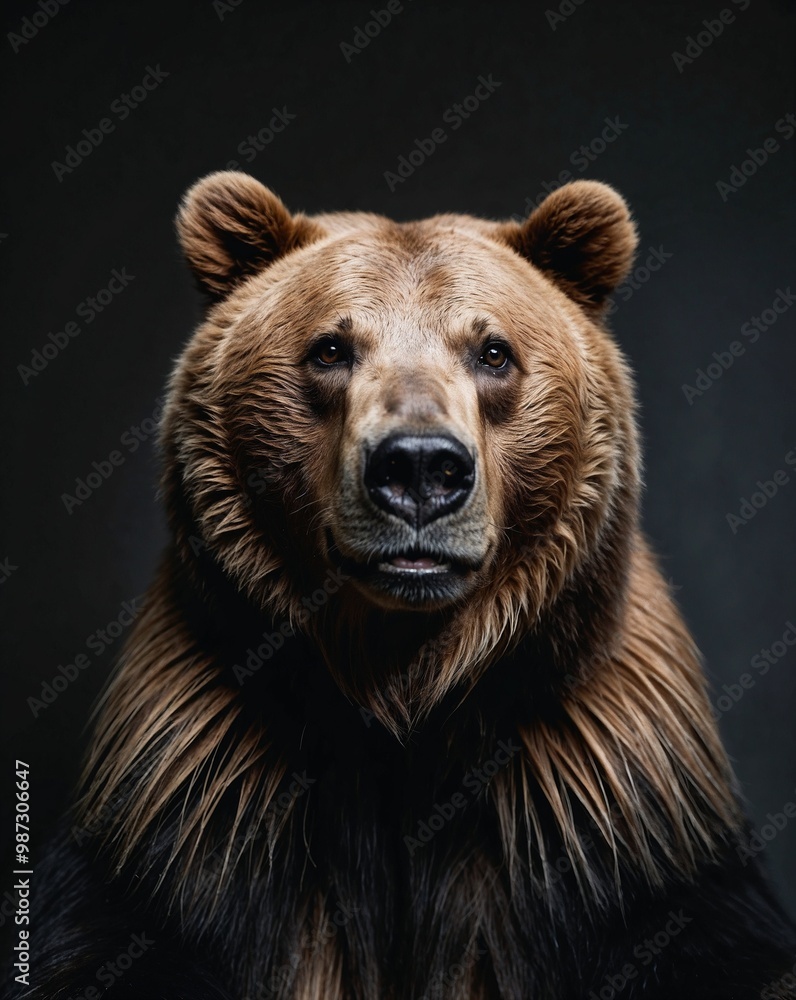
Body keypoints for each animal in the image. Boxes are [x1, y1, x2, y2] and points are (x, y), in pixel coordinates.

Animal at [10, 173, 796, 1000]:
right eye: (330, 348)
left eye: (493, 351)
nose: (420, 468)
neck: (401, 683)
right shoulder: (203, 791)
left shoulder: (603, 801)